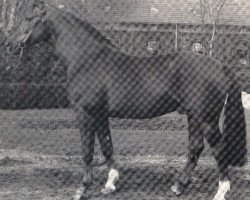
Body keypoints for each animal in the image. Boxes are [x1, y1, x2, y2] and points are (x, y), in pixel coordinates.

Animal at [5, 0, 246, 199]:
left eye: (28, 18)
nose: (8, 44)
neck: (86, 59)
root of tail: (219, 66)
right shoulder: (100, 114)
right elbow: (106, 145)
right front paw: (110, 184)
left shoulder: (85, 113)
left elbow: (87, 150)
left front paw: (82, 188)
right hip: (194, 116)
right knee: (195, 148)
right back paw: (178, 186)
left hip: (206, 119)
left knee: (218, 149)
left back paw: (220, 192)